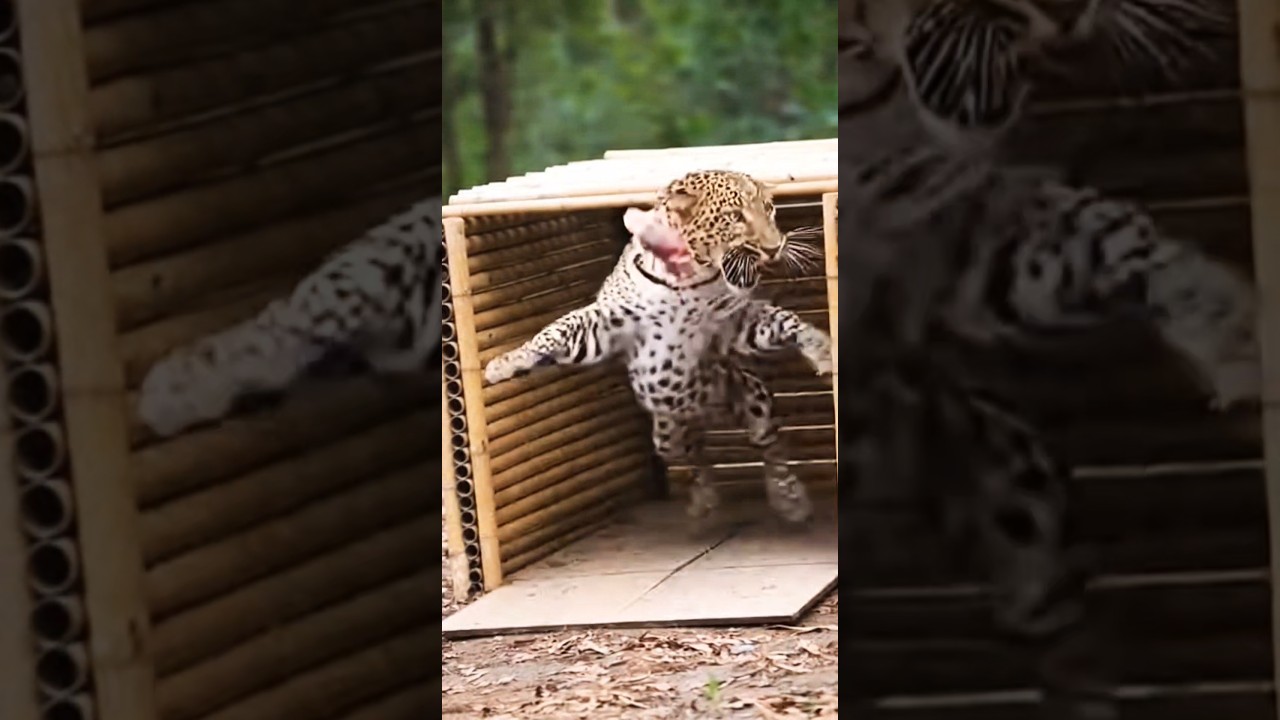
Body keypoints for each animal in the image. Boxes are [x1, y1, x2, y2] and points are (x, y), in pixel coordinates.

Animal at [482, 170, 832, 526]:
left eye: (769, 209)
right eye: (735, 217)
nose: (774, 248)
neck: (685, 280)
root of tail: (707, 410)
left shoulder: (731, 322)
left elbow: (783, 320)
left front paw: (819, 346)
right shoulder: (608, 325)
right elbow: (556, 329)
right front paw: (506, 362)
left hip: (753, 398)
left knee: (770, 446)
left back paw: (788, 499)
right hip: (666, 432)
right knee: (694, 454)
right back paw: (704, 502)